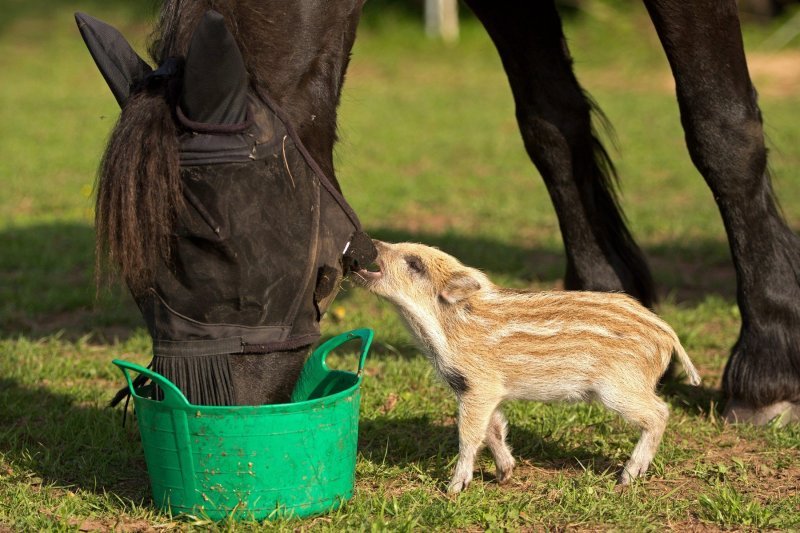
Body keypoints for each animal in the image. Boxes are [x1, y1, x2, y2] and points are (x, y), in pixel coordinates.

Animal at [78, 0, 796, 424]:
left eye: (213, 243)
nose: (209, 412)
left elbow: (721, 127)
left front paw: (768, 365)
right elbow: (551, 124)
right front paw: (596, 304)